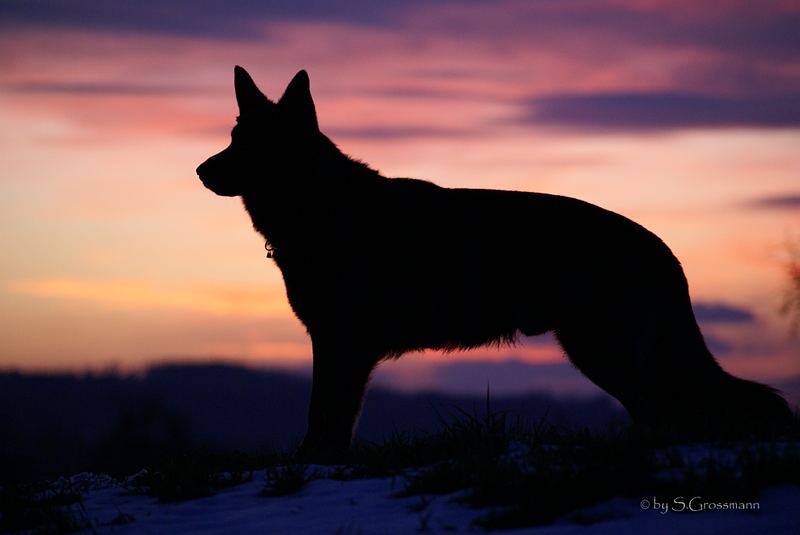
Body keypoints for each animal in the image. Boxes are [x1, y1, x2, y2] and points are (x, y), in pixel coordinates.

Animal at [198, 67, 792, 458]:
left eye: (249, 145)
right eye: (233, 136)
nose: (201, 171)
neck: (321, 208)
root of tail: (664, 250)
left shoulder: (344, 346)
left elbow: (326, 418)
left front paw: (313, 467)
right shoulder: (337, 345)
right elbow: (326, 420)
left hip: (602, 351)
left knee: (661, 411)